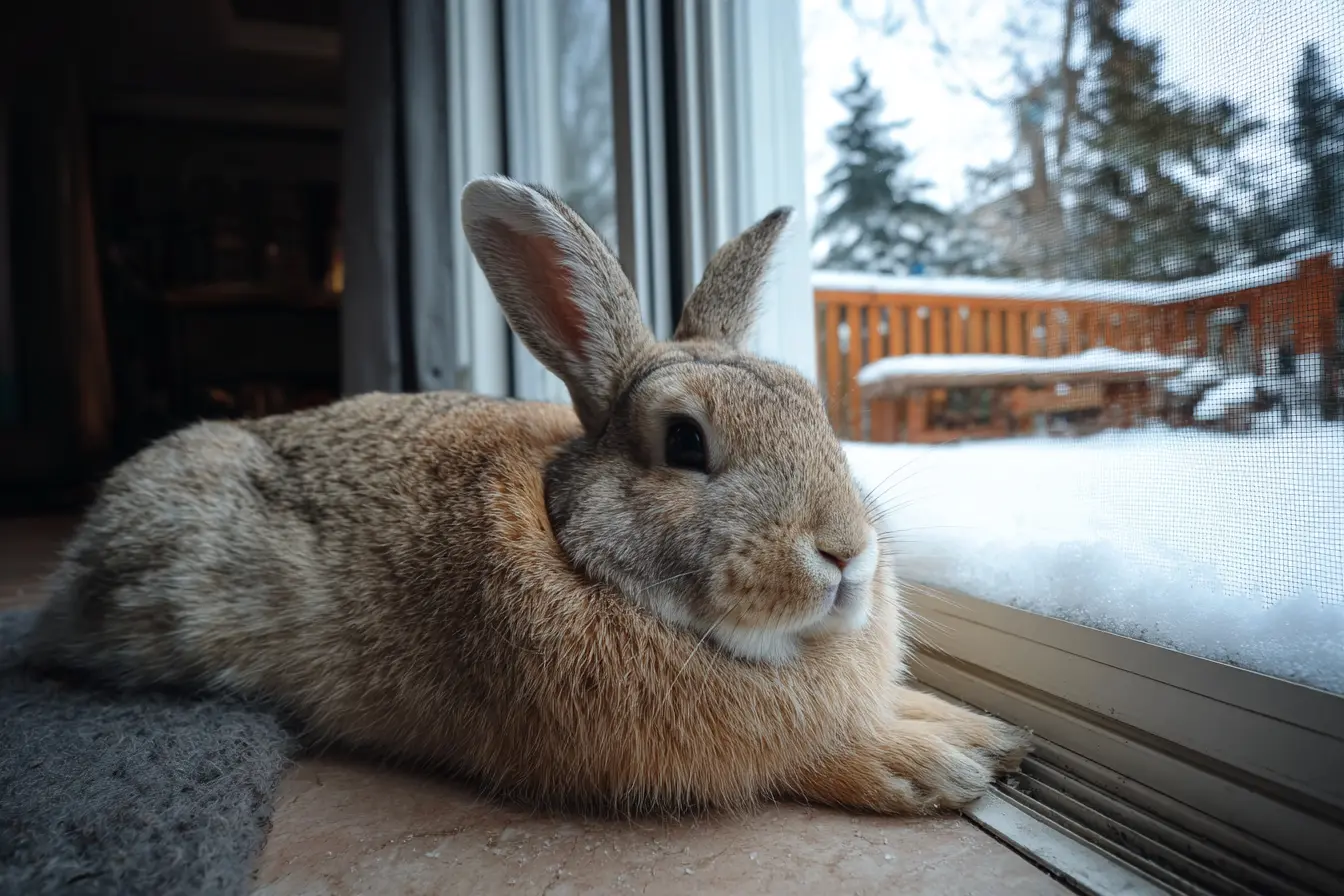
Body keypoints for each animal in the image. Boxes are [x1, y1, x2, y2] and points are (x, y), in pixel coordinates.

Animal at [25, 176, 1029, 816]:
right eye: (686, 442)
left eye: (815, 409)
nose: (845, 553)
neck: (574, 547)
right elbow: (814, 755)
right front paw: (936, 764)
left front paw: (984, 733)